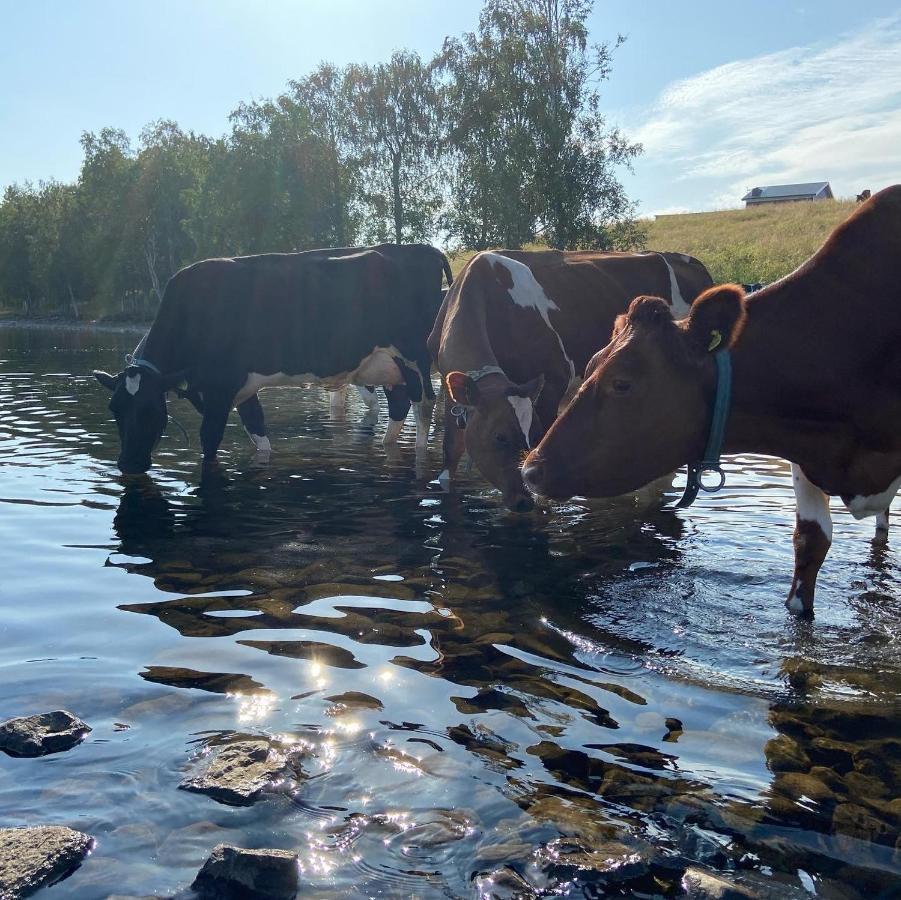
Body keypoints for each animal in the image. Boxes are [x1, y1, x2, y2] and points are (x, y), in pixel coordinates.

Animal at [93, 243, 450, 474]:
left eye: (151, 410)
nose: (128, 464)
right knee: (401, 404)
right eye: (114, 409)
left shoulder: (221, 388)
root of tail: (423, 249)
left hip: (415, 355)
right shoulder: (236, 390)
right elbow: (258, 431)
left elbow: (210, 442)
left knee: (424, 406)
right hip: (390, 367)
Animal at [426, 250, 712, 510]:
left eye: (535, 433)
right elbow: (449, 459)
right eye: (500, 437)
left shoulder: (553, 383)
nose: (523, 502)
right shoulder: (453, 398)